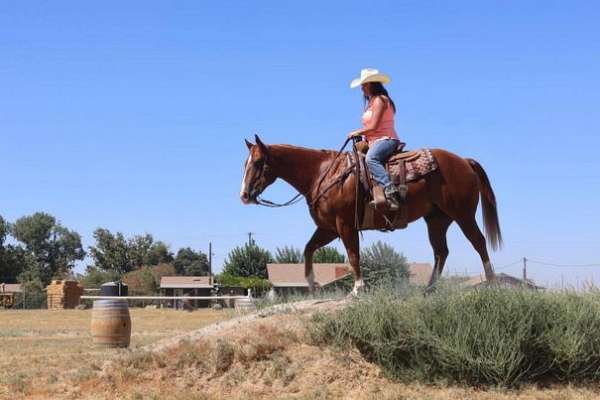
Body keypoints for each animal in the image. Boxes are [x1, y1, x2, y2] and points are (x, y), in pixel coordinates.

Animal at [240, 134, 502, 294]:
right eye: (245, 163)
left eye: (258, 162)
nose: (244, 195)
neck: (324, 173)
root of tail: (465, 162)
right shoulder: (328, 228)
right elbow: (308, 249)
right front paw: (312, 284)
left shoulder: (345, 224)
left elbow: (353, 255)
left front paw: (358, 288)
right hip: (437, 220)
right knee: (441, 252)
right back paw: (429, 290)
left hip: (463, 214)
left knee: (478, 242)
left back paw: (491, 282)